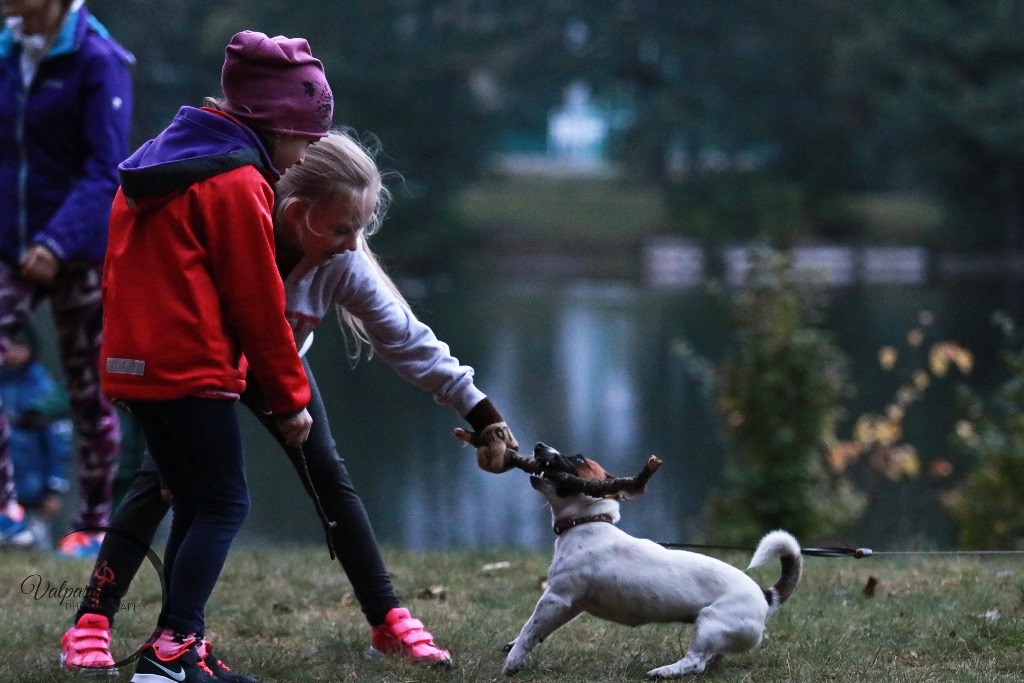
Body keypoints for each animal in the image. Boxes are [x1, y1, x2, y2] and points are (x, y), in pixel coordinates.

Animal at [501, 444, 798, 679]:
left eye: (579, 459)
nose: (539, 445)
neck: (589, 522)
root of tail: (767, 596)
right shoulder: (571, 605)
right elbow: (538, 631)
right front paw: (515, 647)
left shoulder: (556, 598)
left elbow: (529, 628)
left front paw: (513, 661)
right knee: (712, 658)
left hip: (711, 623)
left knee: (696, 662)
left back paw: (664, 671)